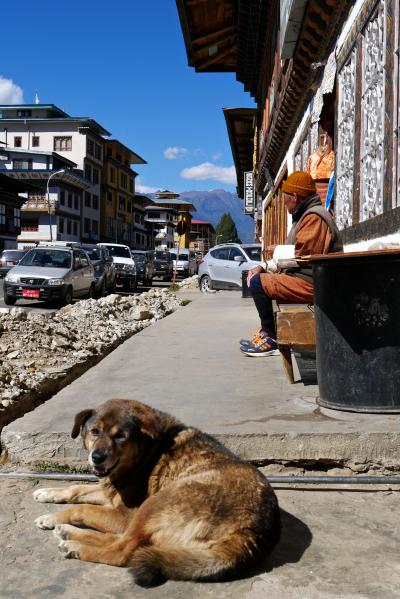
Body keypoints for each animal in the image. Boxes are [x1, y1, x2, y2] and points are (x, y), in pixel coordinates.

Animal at [32, 398, 280, 584]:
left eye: (120, 436)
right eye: (94, 431)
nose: (97, 457)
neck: (144, 450)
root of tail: (251, 533)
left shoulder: (123, 514)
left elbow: (82, 508)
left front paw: (52, 516)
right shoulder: (110, 491)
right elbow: (76, 488)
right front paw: (48, 495)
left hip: (157, 501)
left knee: (122, 550)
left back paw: (74, 545)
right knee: (129, 541)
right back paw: (68, 533)